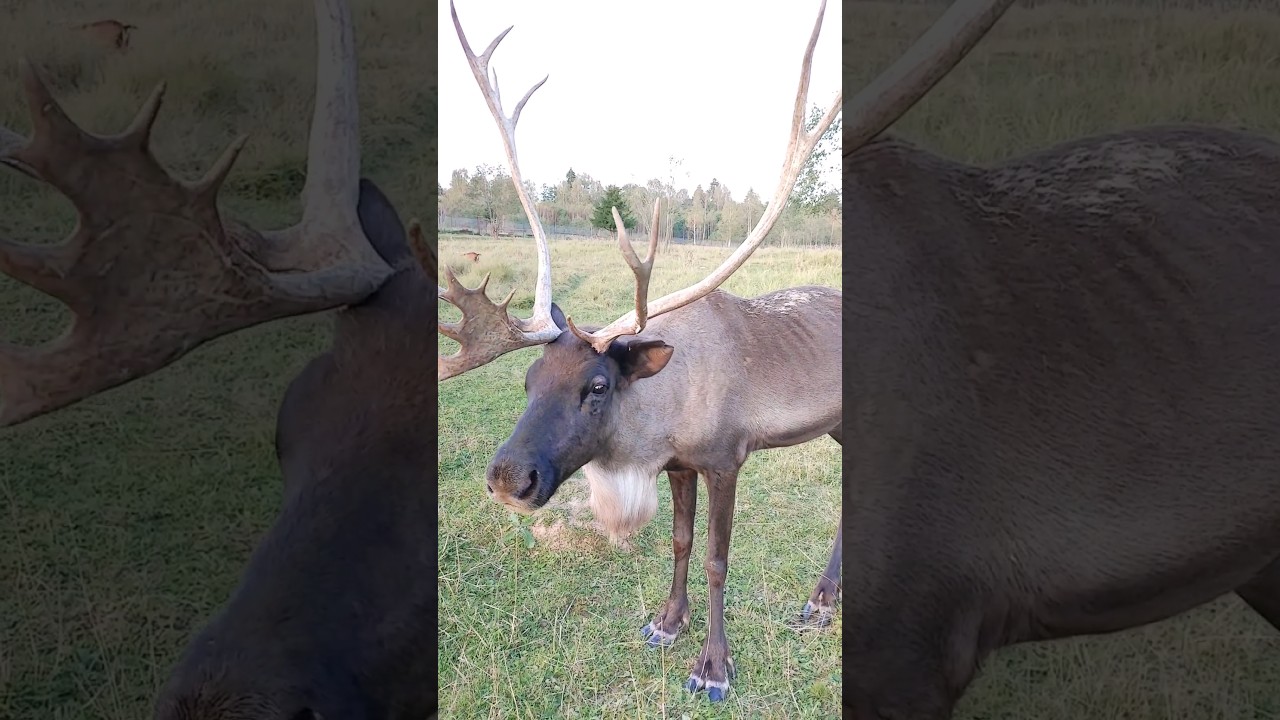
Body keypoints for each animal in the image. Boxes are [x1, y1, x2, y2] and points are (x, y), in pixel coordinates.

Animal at [439, 0, 841, 703]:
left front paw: (713, 667)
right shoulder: (679, 465)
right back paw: (824, 600)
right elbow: (679, 543)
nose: (509, 479)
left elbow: (715, 558)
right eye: (527, 378)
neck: (655, 426)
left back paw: (821, 600)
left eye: (597, 385)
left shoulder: (726, 459)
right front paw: (666, 623)